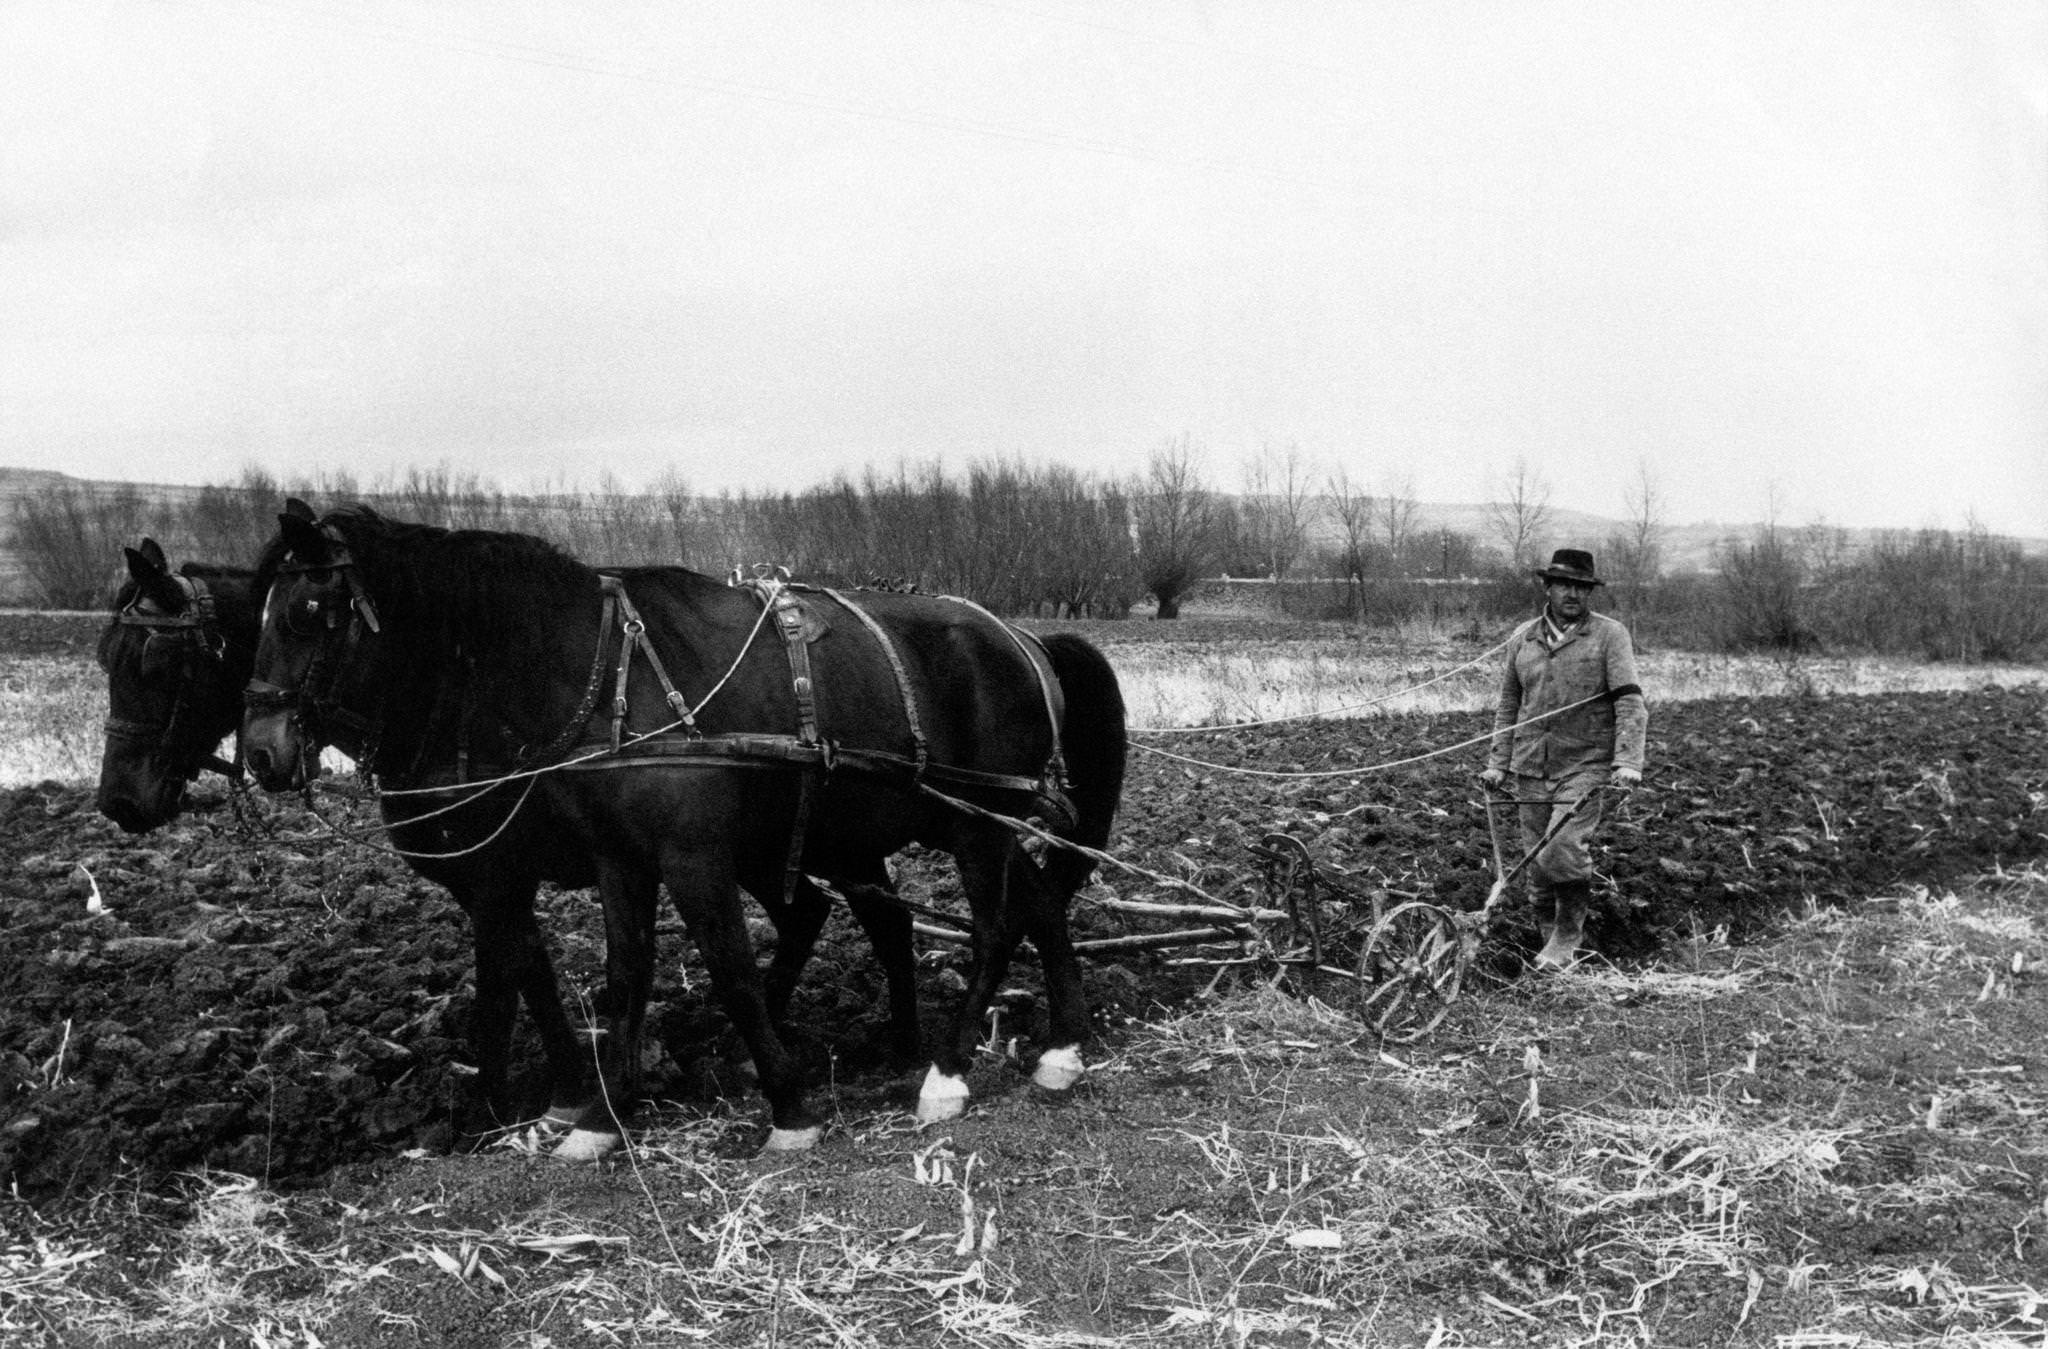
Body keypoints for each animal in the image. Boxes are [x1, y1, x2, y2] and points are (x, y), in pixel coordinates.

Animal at [245, 501, 1130, 1154]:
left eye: (311, 611)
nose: (260, 751)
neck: (604, 679)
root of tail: (1019, 636)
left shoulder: (669, 856)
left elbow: (717, 968)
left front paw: (787, 1106)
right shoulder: (617, 858)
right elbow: (621, 972)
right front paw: (598, 1114)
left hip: (976, 824)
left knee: (993, 928)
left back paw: (945, 1071)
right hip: (956, 824)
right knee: (1030, 908)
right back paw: (1060, 1046)